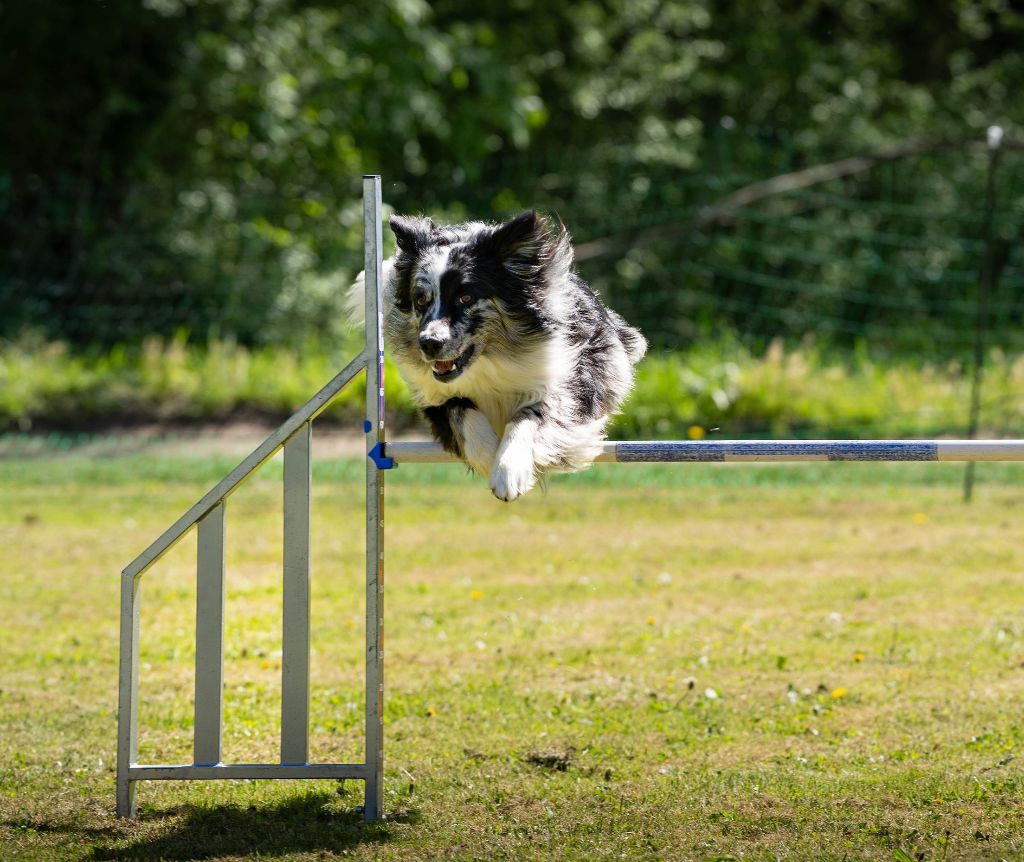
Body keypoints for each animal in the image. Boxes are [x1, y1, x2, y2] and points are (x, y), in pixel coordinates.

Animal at [348, 209, 643, 503]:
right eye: (420, 299)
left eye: (466, 298)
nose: (429, 344)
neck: (488, 361)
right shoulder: (433, 396)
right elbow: (460, 410)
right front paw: (491, 458)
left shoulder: (570, 384)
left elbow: (530, 415)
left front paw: (508, 470)